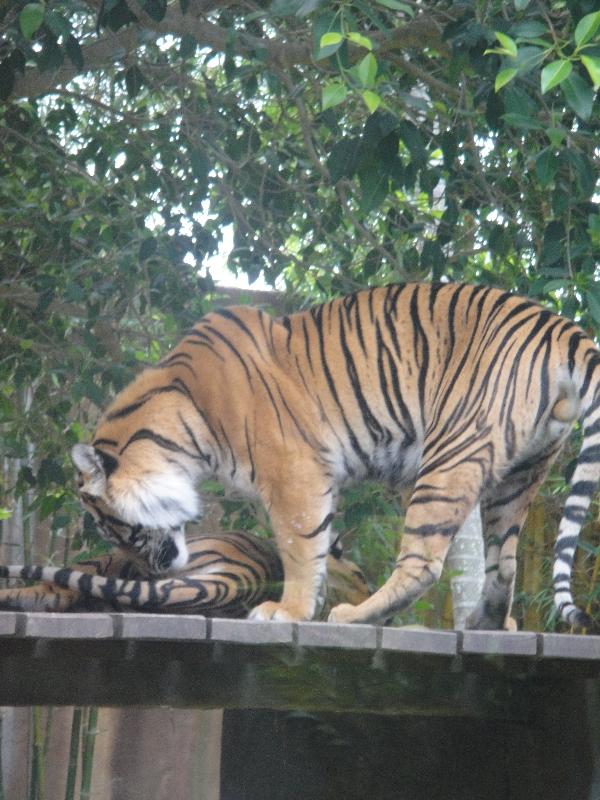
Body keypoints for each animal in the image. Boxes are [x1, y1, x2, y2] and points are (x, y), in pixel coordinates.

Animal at [70, 282, 600, 632]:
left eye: (112, 527)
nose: (155, 572)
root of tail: (558, 325)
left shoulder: (294, 474)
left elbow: (299, 547)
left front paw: (288, 611)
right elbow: (325, 549)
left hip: (450, 453)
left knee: (423, 563)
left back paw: (357, 616)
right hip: (521, 473)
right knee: (504, 564)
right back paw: (484, 625)